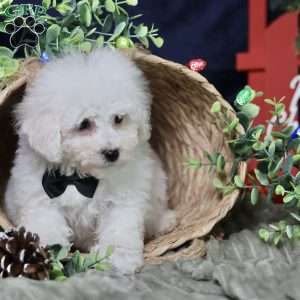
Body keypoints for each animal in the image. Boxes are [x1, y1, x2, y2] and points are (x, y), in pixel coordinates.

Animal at [4, 48, 176, 274]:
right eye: (84, 124)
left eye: (118, 119)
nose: (112, 152)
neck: (81, 177)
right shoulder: (39, 198)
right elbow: (46, 224)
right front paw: (41, 252)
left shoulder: (123, 199)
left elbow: (120, 228)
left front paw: (120, 259)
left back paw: (165, 221)